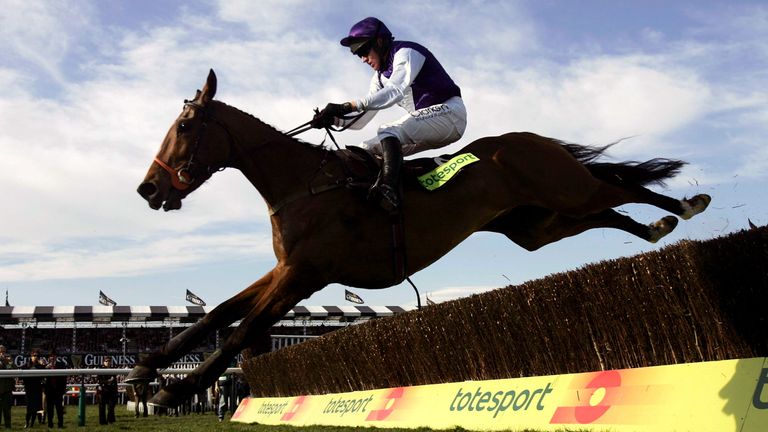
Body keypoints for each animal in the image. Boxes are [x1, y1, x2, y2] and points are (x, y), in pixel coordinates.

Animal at [129, 69, 712, 406]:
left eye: (185, 126)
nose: (148, 188)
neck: (304, 185)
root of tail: (529, 139)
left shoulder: (305, 274)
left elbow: (243, 329)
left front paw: (175, 388)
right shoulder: (286, 268)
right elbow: (218, 312)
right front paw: (147, 366)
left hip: (563, 191)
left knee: (618, 185)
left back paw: (684, 205)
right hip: (538, 225)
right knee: (609, 208)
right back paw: (658, 226)